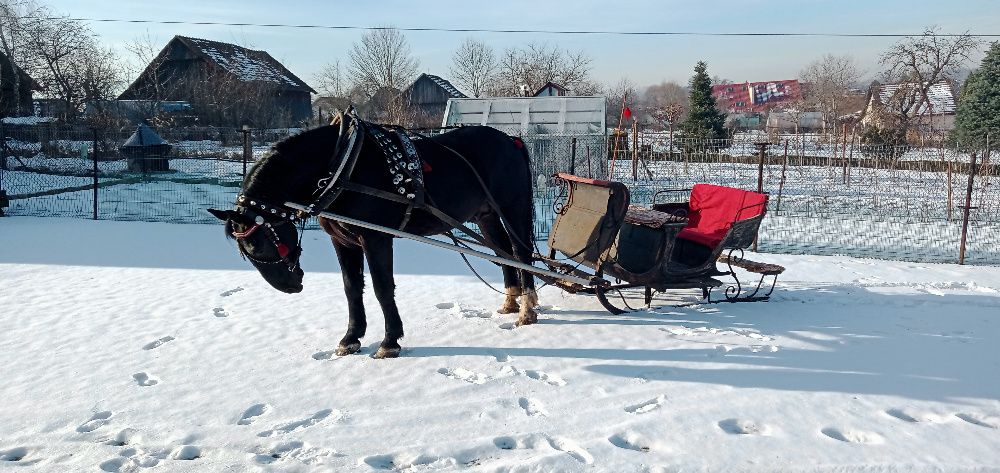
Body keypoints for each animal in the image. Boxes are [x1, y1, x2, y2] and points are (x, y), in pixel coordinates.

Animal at [207, 115, 540, 358]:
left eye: (260, 244)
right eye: (246, 252)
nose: (290, 287)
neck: (342, 167)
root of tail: (511, 140)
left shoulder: (376, 238)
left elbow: (382, 287)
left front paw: (390, 341)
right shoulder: (342, 240)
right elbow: (351, 287)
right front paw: (351, 338)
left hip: (512, 207)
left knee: (521, 253)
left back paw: (527, 310)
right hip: (485, 216)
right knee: (504, 254)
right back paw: (511, 302)